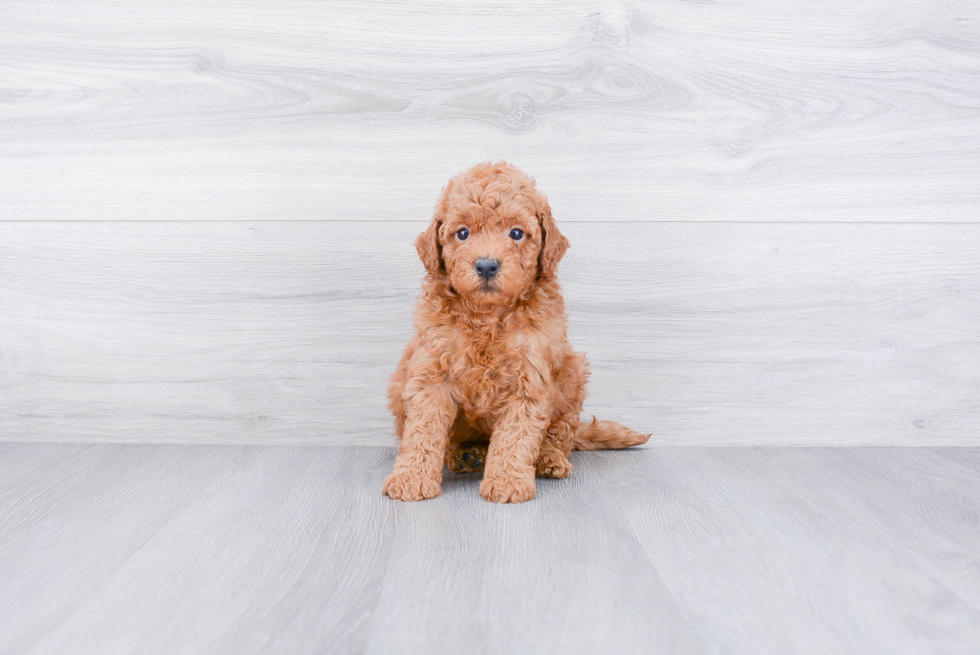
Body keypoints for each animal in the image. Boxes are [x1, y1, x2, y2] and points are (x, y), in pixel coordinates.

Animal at [382, 161, 652, 504]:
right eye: (462, 233)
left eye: (516, 233)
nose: (486, 265)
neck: (487, 316)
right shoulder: (431, 373)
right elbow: (423, 431)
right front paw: (411, 477)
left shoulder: (529, 378)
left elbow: (516, 436)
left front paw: (508, 481)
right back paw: (466, 454)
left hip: (573, 373)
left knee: (561, 432)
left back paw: (549, 459)